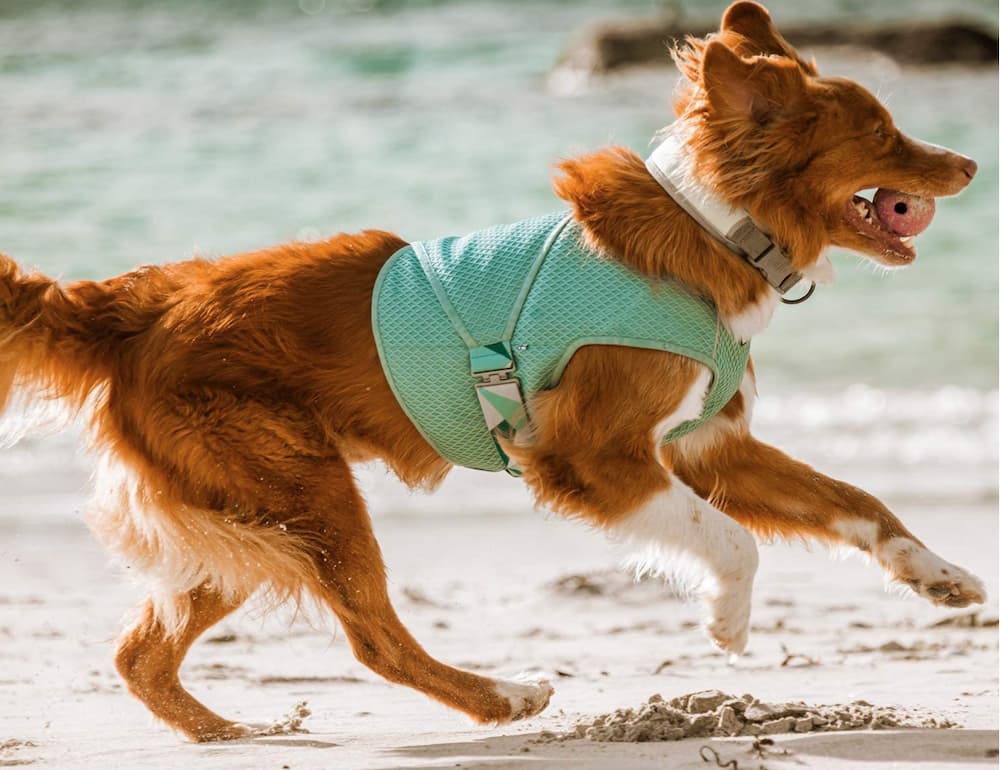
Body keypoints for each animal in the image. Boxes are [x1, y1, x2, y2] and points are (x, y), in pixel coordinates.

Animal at [0, 1, 984, 744]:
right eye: (881, 133)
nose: (972, 162)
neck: (710, 230)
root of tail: (132, 305)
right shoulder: (592, 458)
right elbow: (733, 540)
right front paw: (727, 621)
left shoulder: (709, 447)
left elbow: (859, 502)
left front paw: (939, 576)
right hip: (304, 494)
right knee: (372, 639)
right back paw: (500, 698)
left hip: (247, 523)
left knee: (140, 654)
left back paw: (228, 735)